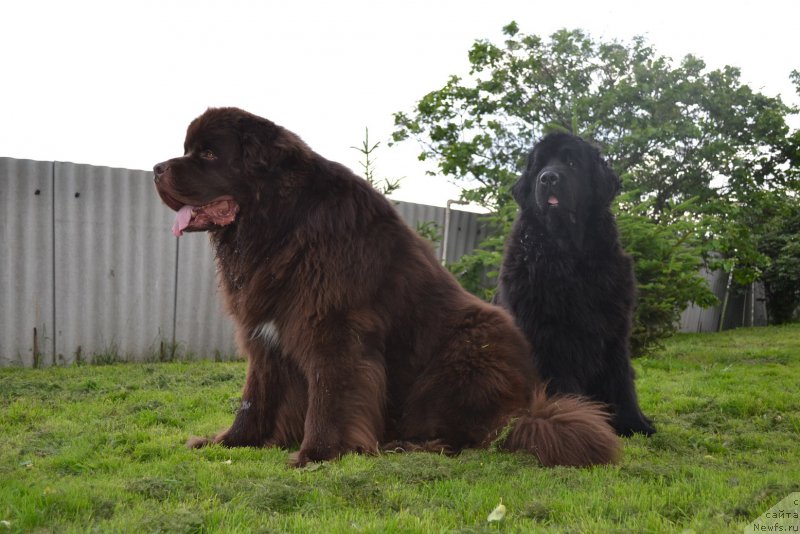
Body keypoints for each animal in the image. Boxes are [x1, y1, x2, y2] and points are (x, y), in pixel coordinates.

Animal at [153, 108, 620, 468]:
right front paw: (228, 443)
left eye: (209, 154)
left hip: (462, 357)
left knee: (467, 436)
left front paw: (318, 454)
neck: (282, 224)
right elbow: (254, 397)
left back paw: (409, 445)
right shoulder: (264, 334)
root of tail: (523, 408)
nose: (158, 169)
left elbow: (331, 396)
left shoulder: (335, 330)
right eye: (190, 150)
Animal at [494, 134, 656, 440]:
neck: (570, 255)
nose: (548, 178)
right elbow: (563, 384)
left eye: (571, 163)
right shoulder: (547, 336)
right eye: (540, 166)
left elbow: (620, 379)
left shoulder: (614, 331)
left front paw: (635, 423)